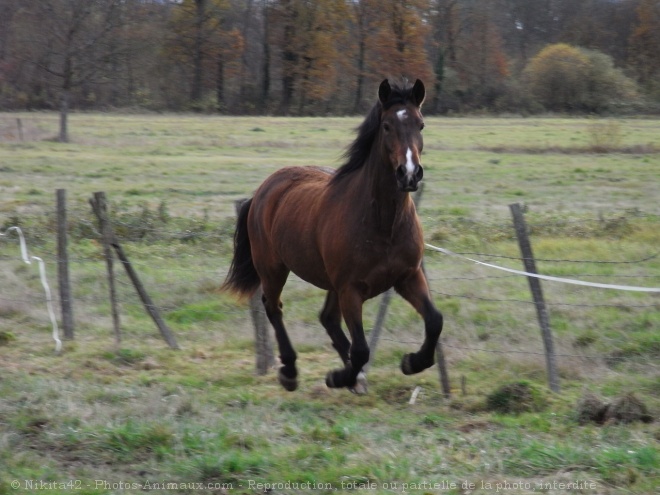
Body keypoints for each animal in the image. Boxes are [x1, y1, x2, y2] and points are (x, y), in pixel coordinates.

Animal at [223, 78, 444, 396]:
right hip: (273, 268)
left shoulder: (408, 277)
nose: (410, 174)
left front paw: (411, 362)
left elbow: (435, 321)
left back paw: (354, 377)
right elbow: (362, 349)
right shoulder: (350, 289)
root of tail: (264, 189)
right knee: (274, 307)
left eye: (421, 124)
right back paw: (290, 371)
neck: (383, 223)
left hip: (329, 282)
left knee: (326, 318)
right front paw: (338, 377)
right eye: (387, 125)